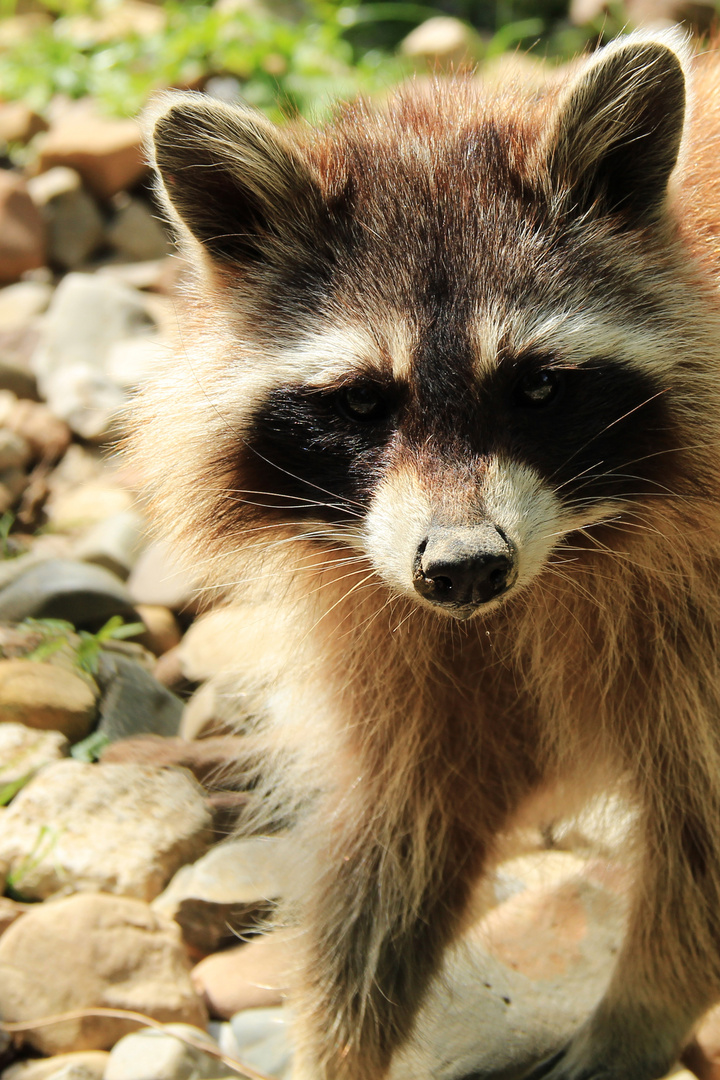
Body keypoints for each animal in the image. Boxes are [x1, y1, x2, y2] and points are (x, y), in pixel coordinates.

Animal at [131, 29, 720, 1080]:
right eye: (364, 402)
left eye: (539, 387)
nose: (465, 566)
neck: (561, 562)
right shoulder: (391, 618)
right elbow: (407, 824)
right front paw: (339, 1044)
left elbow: (704, 845)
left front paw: (635, 1021)